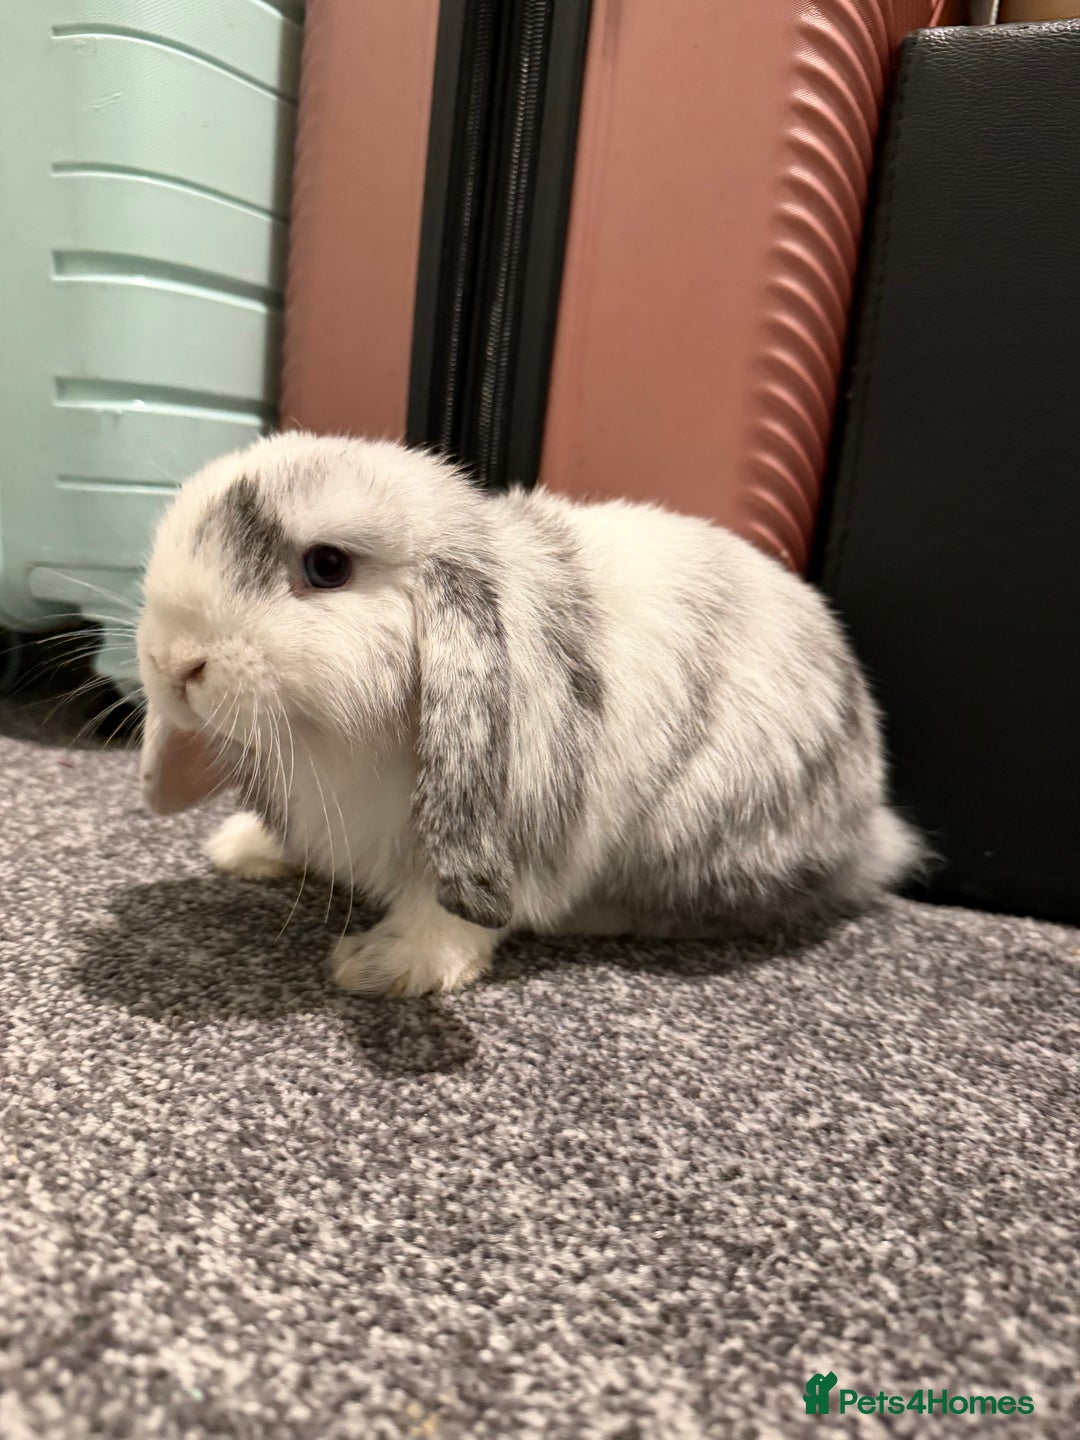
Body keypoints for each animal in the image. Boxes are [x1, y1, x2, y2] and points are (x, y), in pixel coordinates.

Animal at [137, 432, 922, 996]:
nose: (174, 663)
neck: (328, 744)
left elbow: (448, 918)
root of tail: (871, 827)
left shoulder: (499, 837)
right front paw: (242, 849)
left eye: (326, 566)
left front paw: (378, 968)